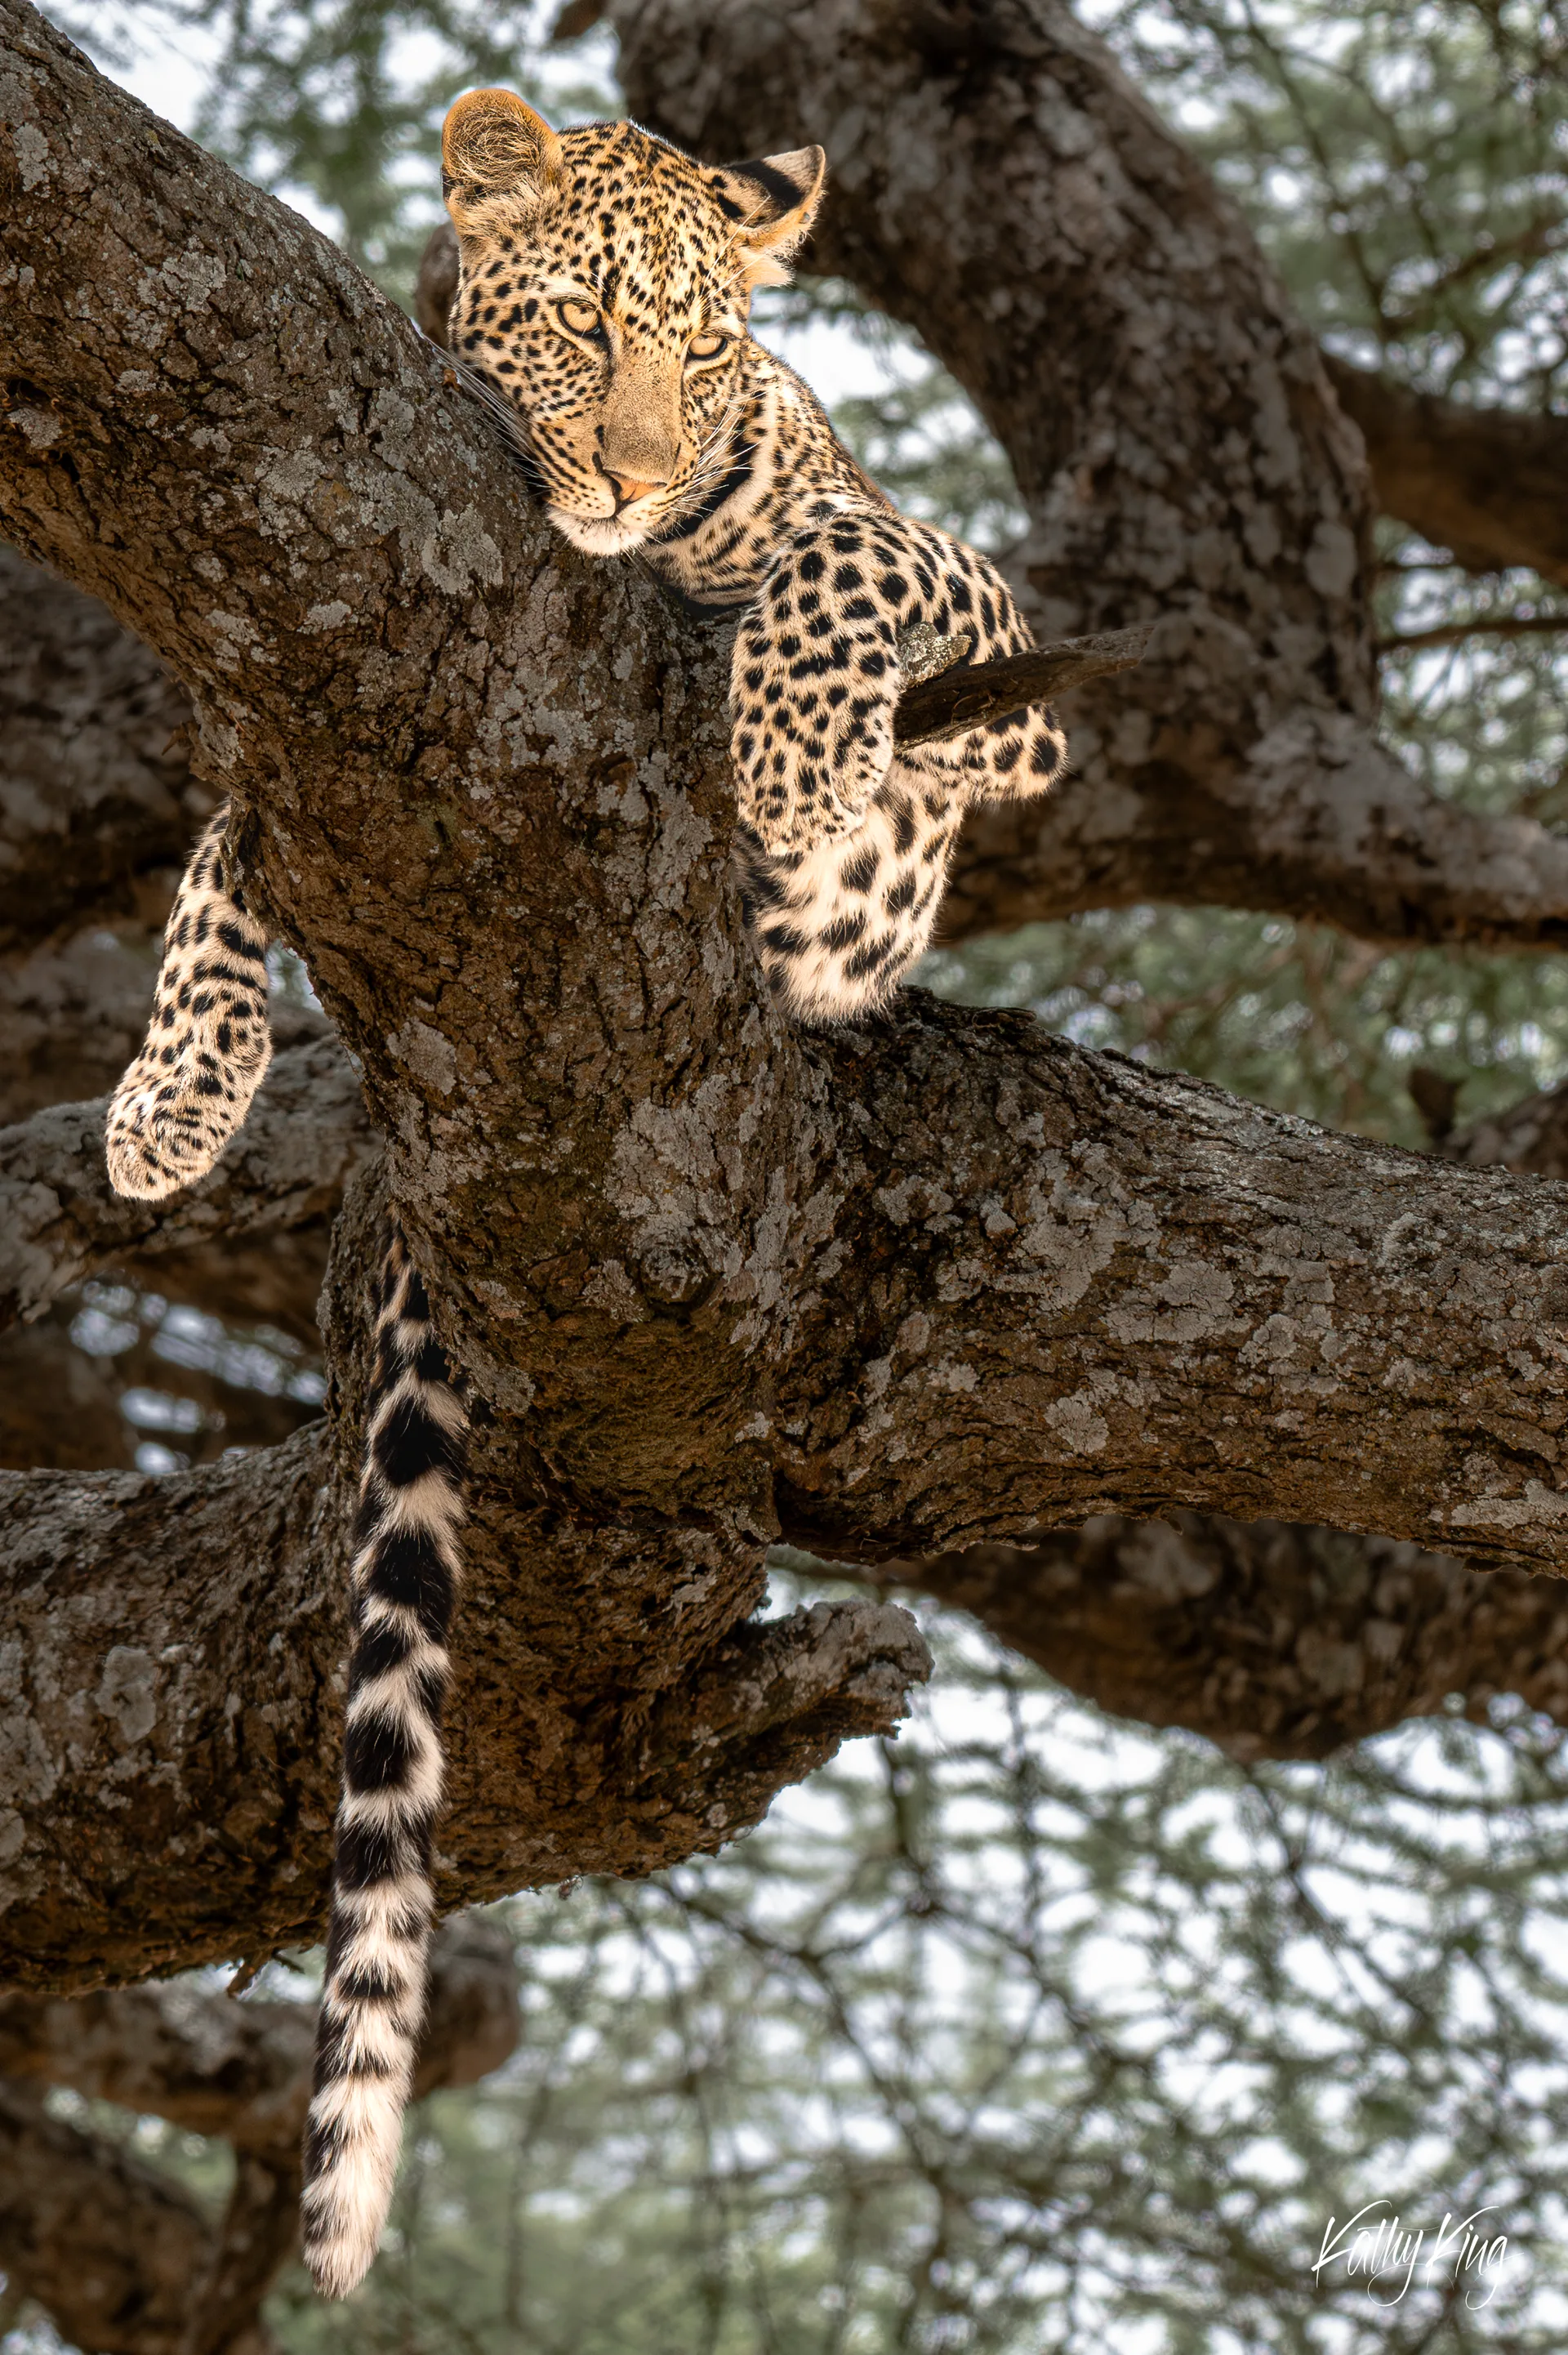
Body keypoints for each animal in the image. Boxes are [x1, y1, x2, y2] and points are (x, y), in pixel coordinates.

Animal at [104, 89, 1068, 2300]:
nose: (639, 475)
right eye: (585, 329)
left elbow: (844, 554)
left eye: (709, 354)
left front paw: (789, 762)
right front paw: (170, 1095)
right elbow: (221, 842)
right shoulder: (307, 719)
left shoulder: (999, 663)